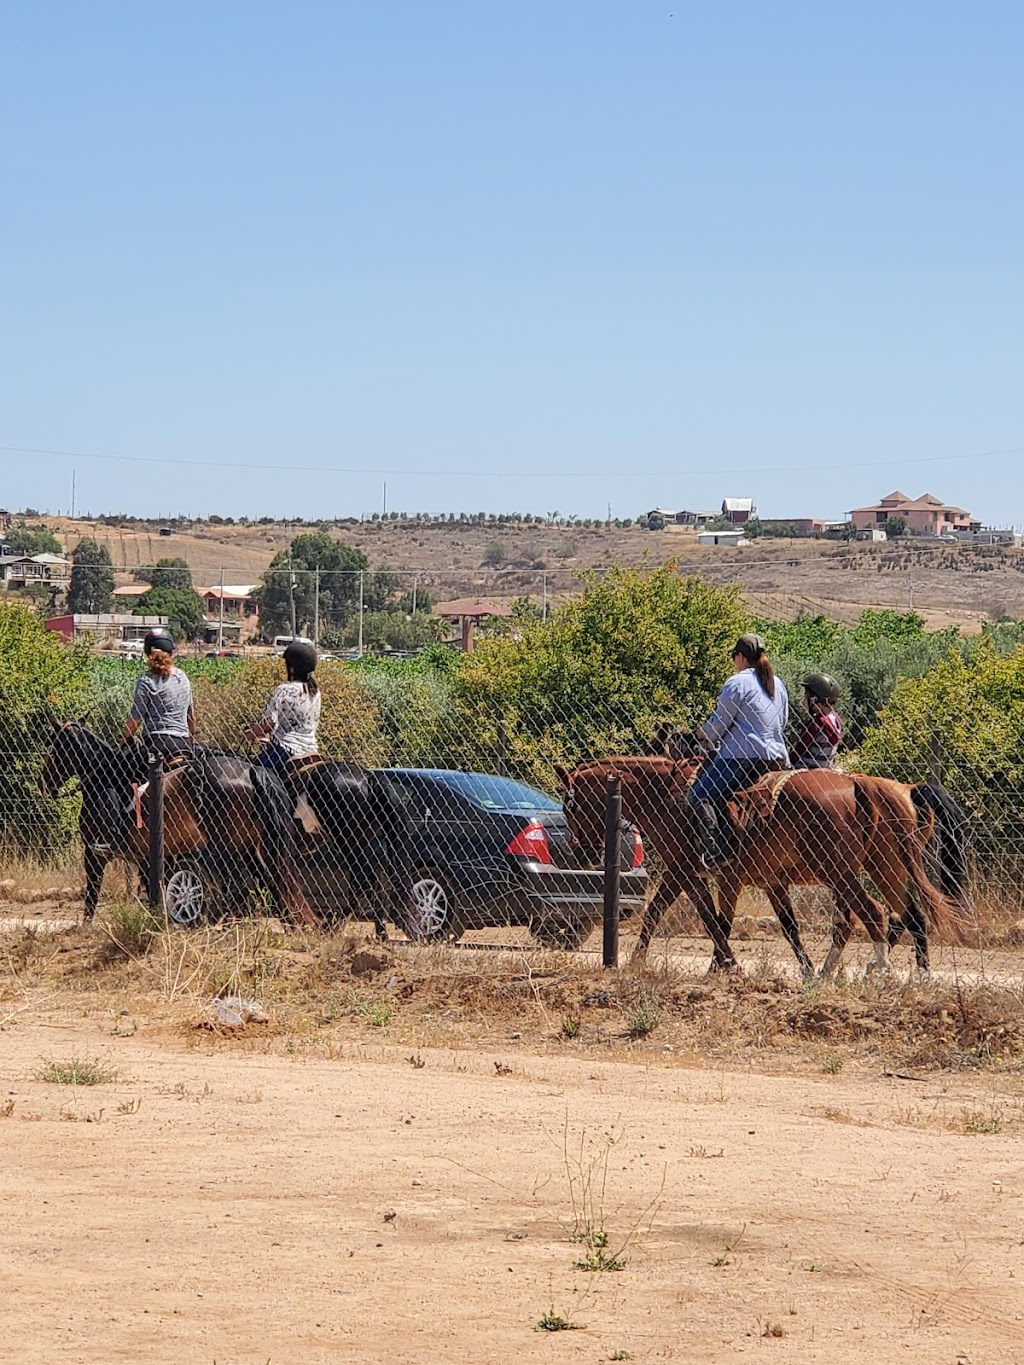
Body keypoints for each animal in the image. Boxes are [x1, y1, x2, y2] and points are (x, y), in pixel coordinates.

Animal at [557, 758, 966, 971]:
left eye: (571, 805)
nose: (580, 853)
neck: (670, 798)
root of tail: (861, 784)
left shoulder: (694, 872)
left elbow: (698, 918)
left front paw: (722, 966)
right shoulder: (753, 880)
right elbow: (780, 927)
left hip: (843, 873)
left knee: (873, 916)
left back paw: (877, 971)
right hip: (886, 867)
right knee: (909, 917)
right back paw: (909, 977)